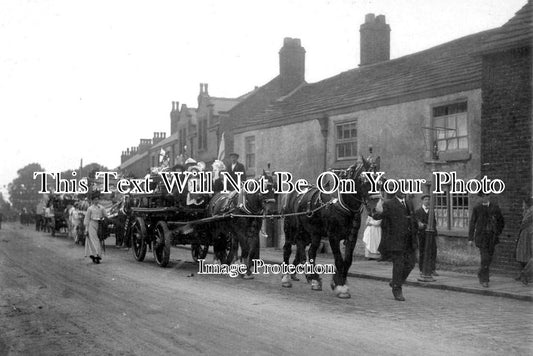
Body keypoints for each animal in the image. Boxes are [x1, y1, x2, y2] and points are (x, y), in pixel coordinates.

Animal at [280, 159, 372, 298]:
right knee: (288, 249)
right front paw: (341, 287)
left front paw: (339, 281)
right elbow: (339, 259)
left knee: (307, 251)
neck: (342, 203)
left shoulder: (352, 236)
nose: (375, 207)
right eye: (365, 180)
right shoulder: (333, 236)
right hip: (290, 228)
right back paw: (287, 278)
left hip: (311, 233)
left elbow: (347, 260)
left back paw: (313, 278)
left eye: (382, 180)